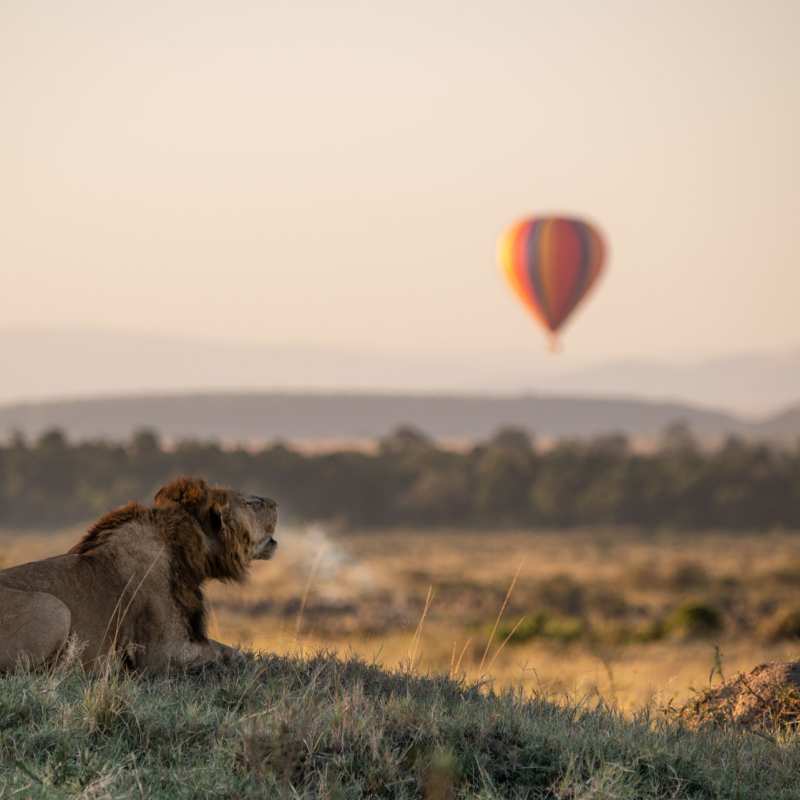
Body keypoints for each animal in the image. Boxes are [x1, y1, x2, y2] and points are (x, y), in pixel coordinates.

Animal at [0, 477, 277, 673]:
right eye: (252, 503)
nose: (276, 503)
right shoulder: (162, 653)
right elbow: (227, 653)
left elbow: (227, 649)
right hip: (54, 608)